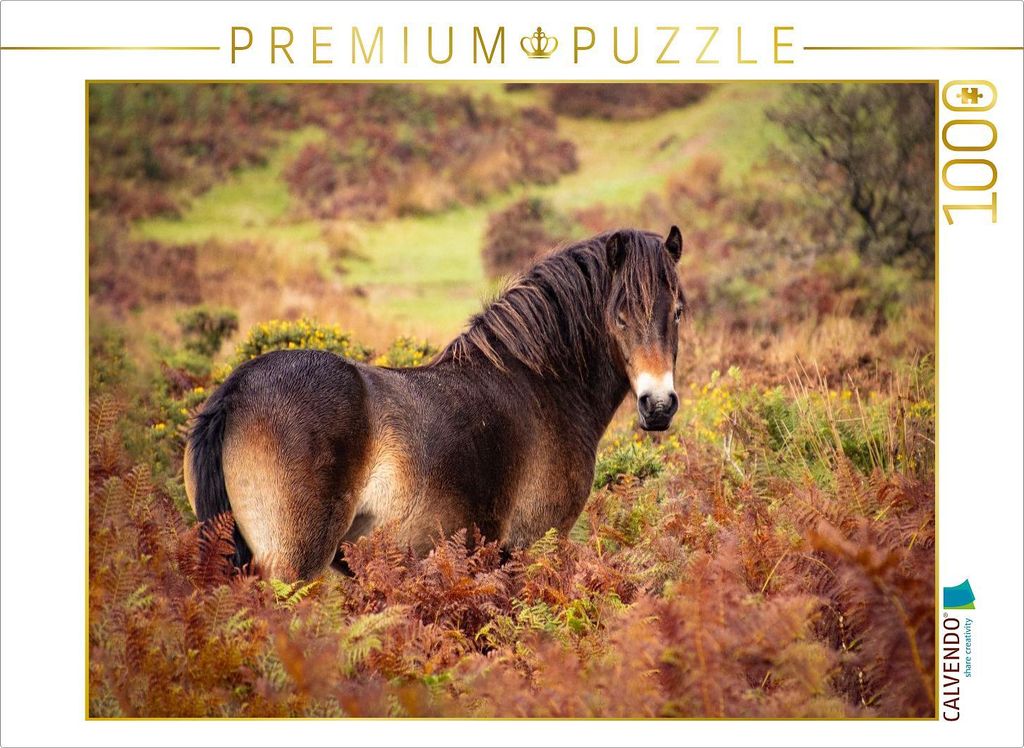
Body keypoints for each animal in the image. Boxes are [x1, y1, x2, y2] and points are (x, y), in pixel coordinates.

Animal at [184, 226, 686, 580]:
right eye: (620, 315)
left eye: (678, 311)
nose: (658, 405)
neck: (541, 386)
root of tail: (234, 392)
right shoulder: (528, 547)